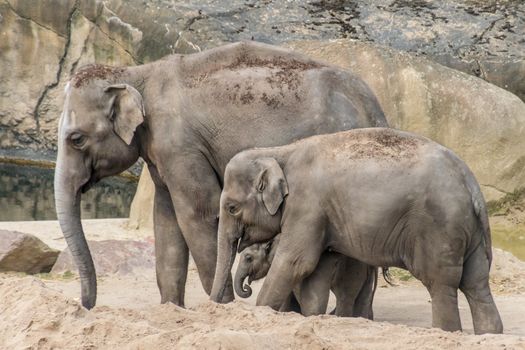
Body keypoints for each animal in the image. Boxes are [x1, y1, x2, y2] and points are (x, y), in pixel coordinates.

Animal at [54, 41, 388, 308]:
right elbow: (166, 221)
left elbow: (198, 215)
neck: (136, 74)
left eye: (76, 139)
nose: (85, 305)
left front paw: (221, 306)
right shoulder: (164, 154)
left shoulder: (181, 146)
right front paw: (171, 309)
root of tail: (375, 108)